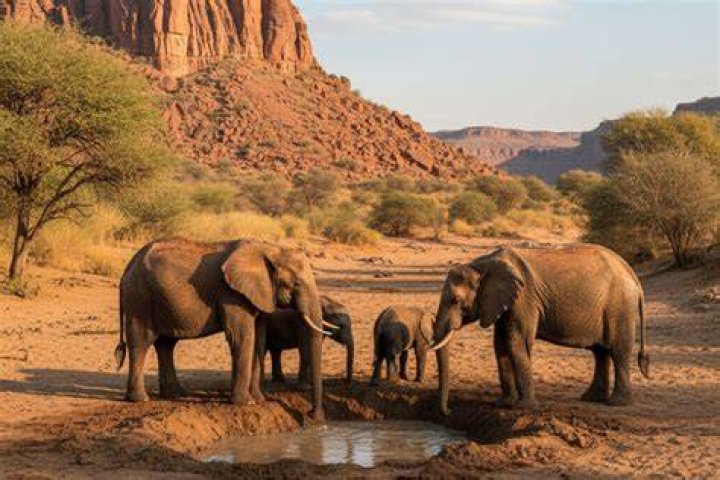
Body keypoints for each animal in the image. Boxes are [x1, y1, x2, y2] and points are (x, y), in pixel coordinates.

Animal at [114, 237, 327, 420]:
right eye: (296, 283)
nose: (312, 415)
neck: (270, 248)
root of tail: (128, 266)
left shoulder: (256, 294)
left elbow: (258, 340)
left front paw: (259, 400)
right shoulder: (232, 294)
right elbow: (243, 337)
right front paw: (246, 403)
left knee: (166, 344)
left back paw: (175, 393)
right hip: (140, 298)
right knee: (141, 343)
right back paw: (140, 399)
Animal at [429, 244, 649, 415]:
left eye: (455, 300)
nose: (448, 411)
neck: (480, 265)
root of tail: (632, 274)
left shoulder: (524, 299)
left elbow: (516, 342)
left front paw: (524, 407)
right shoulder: (505, 301)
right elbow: (500, 344)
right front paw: (504, 404)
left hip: (620, 305)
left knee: (618, 351)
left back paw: (617, 403)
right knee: (600, 351)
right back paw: (591, 398)